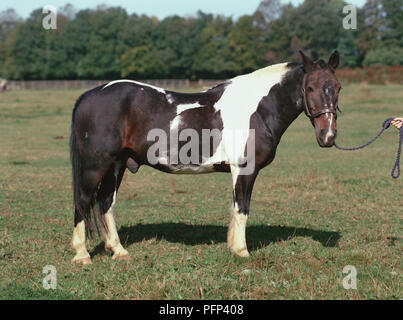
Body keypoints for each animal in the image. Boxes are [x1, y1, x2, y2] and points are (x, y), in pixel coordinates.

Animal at [71, 50, 342, 264]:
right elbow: (242, 207)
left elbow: (236, 207)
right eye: (310, 87)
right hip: (96, 165)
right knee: (83, 201)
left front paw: (234, 247)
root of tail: (90, 94)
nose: (327, 135)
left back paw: (118, 251)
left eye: (338, 87)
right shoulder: (244, 168)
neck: (257, 110)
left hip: (116, 165)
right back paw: (82, 255)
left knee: (106, 202)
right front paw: (242, 251)